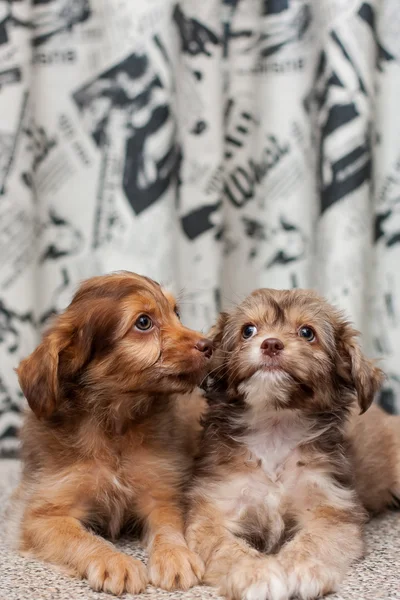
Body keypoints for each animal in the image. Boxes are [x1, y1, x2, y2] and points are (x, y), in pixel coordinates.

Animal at [13, 270, 212, 596]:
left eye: (177, 312)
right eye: (143, 322)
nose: (210, 345)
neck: (113, 424)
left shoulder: (161, 493)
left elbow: (168, 527)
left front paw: (175, 555)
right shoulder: (43, 516)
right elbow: (80, 538)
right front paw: (114, 561)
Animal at [186, 288, 390, 600]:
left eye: (307, 333)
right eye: (248, 330)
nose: (271, 343)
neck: (275, 427)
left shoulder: (330, 510)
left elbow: (313, 540)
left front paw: (301, 568)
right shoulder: (212, 513)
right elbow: (226, 547)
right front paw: (255, 573)